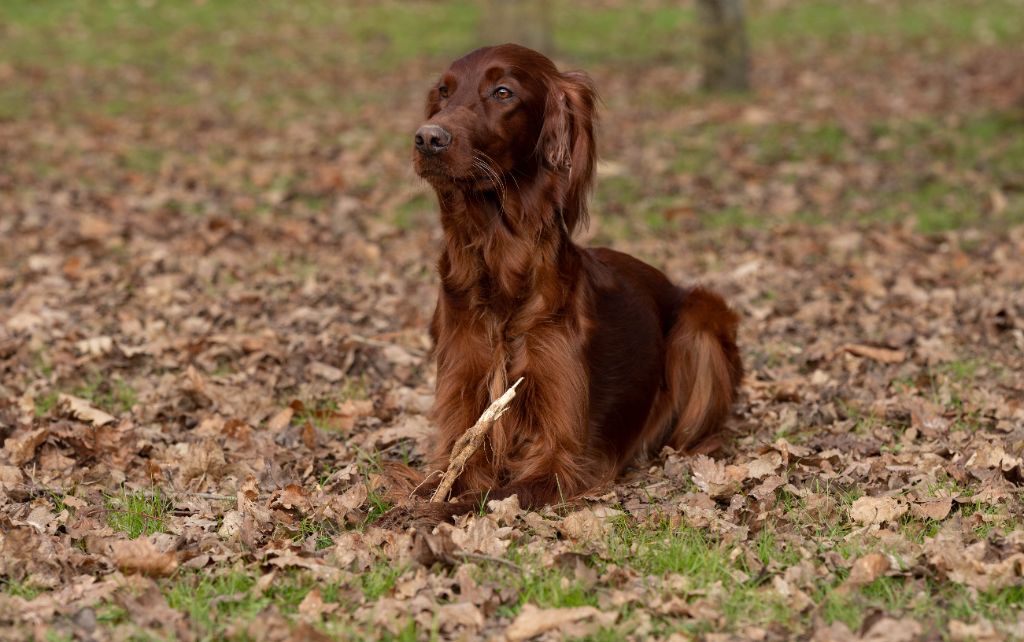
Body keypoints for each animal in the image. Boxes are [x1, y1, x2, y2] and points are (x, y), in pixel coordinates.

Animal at [407, 44, 745, 511]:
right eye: (443, 90)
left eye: (502, 91)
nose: (427, 138)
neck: (502, 267)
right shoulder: (464, 416)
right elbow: (441, 481)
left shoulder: (563, 456)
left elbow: (486, 498)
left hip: (702, 315)